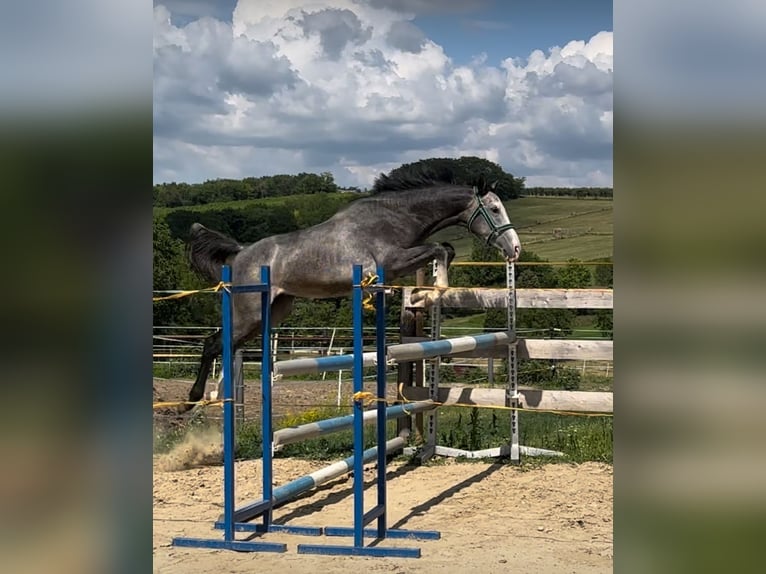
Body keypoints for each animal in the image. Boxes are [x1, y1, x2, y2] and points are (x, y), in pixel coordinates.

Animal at [181, 168, 521, 412]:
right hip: (248, 312)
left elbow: (446, 249)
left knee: (225, 345)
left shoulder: (398, 265)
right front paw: (432, 292)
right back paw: (192, 400)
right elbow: (440, 248)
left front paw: (425, 293)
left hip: (272, 312)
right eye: (494, 208)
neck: (395, 217)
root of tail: (240, 254)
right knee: (213, 344)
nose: (515, 248)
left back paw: (213, 396)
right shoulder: (389, 262)